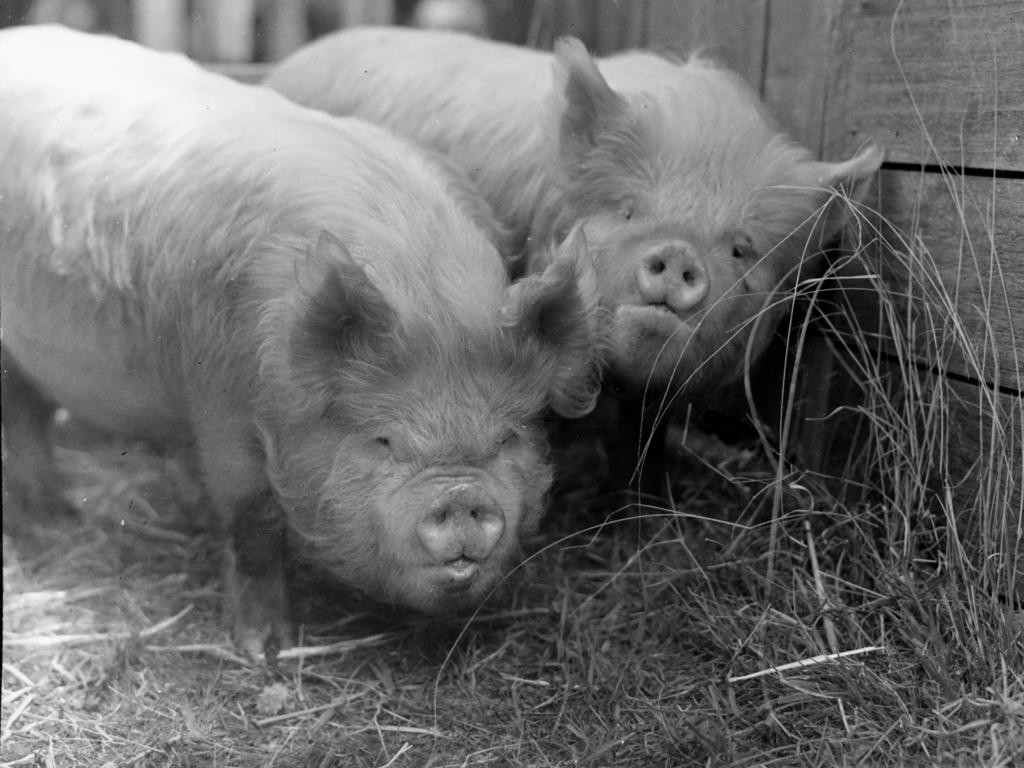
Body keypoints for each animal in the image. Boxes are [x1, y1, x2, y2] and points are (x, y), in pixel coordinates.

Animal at [0, 27, 598, 659]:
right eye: (384, 440)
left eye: (508, 438)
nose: (460, 496)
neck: (427, 297)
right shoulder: (220, 403)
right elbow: (253, 523)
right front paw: (266, 649)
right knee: (21, 417)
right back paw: (47, 524)